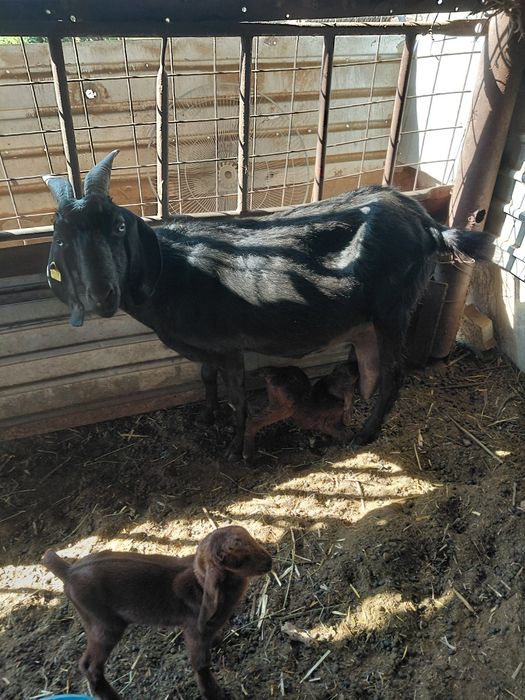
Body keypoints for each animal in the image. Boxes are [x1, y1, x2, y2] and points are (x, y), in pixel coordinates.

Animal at [43, 526, 272, 700]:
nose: (269, 561)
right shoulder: (193, 629)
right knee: (89, 666)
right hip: (103, 623)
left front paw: (217, 641)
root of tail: (68, 571)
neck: (200, 582)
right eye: (239, 559)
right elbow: (200, 664)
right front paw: (213, 693)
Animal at [44, 151, 495, 459]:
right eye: (61, 238)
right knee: (369, 366)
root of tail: (430, 225)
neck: (173, 270)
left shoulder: (229, 346)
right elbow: (205, 378)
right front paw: (206, 417)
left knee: (395, 372)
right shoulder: (206, 347)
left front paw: (233, 447)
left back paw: (367, 432)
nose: (102, 295)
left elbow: (238, 395)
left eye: (120, 226)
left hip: (394, 308)